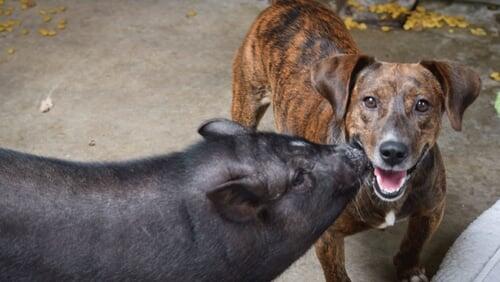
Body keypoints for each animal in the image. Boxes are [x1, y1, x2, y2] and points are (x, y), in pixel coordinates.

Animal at [230, 0, 480, 282]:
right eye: (369, 100)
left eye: (422, 105)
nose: (393, 152)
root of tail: (289, 4)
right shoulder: (328, 237)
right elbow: (337, 272)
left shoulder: (432, 209)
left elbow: (415, 243)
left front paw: (409, 270)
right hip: (247, 102)